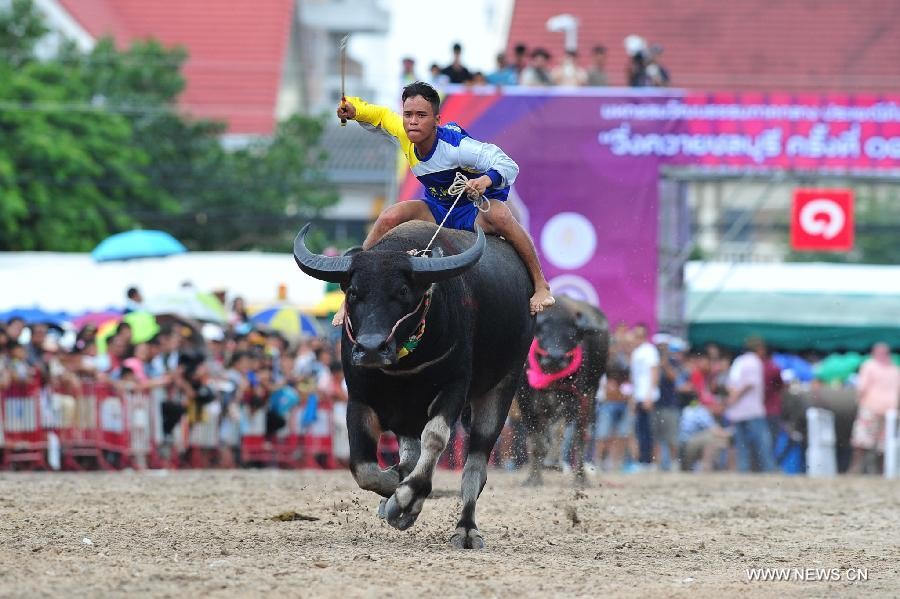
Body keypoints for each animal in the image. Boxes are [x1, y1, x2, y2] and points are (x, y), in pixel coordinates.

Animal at [296, 220, 536, 548]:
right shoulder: (359, 398)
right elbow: (363, 468)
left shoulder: (454, 388)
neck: (403, 367)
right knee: (410, 452)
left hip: (502, 387)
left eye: (402, 291)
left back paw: (466, 529)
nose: (370, 348)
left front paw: (407, 498)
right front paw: (394, 490)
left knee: (475, 466)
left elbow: (434, 439)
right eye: (354, 293)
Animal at [516, 296, 608, 488]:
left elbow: (563, 433)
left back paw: (578, 478)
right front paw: (533, 479)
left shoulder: (575, 398)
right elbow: (535, 440)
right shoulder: (524, 399)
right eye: (542, 332)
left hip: (590, 395)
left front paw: (555, 463)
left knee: (578, 436)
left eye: (572, 335)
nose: (555, 357)